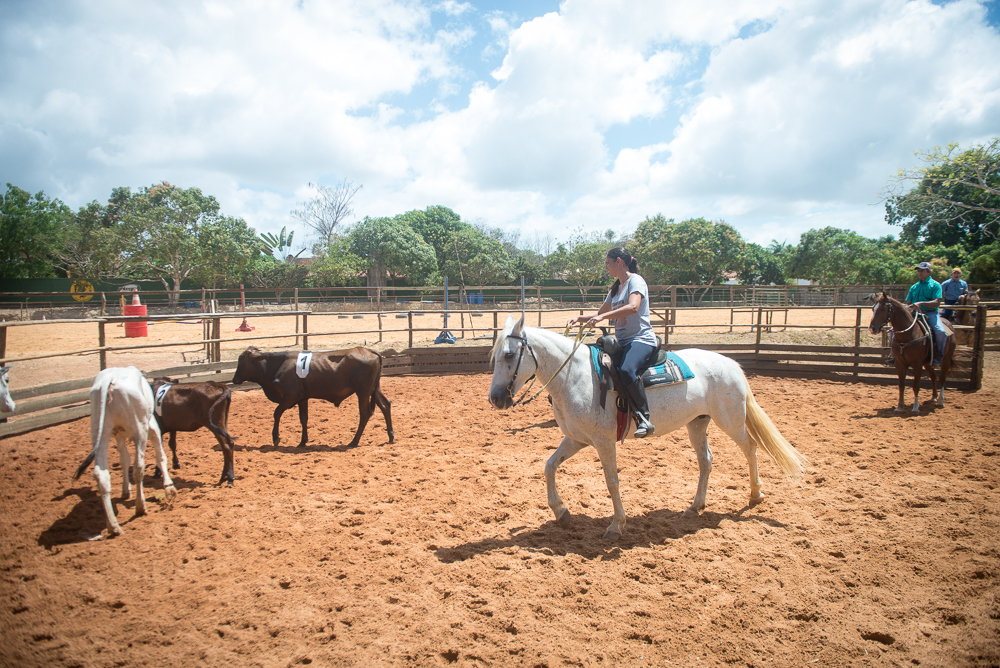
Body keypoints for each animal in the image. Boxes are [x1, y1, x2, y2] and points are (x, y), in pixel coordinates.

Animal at [74, 368, 178, 536]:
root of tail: (109, 379)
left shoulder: (119, 435)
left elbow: (124, 460)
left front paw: (125, 490)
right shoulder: (152, 424)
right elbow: (160, 456)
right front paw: (169, 488)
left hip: (100, 433)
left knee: (101, 475)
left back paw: (113, 525)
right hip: (140, 430)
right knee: (138, 467)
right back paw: (140, 507)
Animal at [232, 344, 392, 448]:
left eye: (240, 360)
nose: (234, 379)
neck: (277, 365)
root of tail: (370, 351)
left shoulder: (290, 396)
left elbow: (277, 413)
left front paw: (276, 438)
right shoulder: (302, 398)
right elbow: (303, 418)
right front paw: (303, 441)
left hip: (363, 391)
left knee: (364, 413)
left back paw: (354, 441)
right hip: (374, 389)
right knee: (385, 405)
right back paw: (390, 436)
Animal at [488, 316, 808, 540]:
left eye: (508, 355)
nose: (495, 398)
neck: (574, 375)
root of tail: (730, 363)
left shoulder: (603, 442)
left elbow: (612, 481)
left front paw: (616, 525)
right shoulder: (576, 439)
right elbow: (549, 466)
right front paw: (561, 512)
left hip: (730, 420)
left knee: (751, 448)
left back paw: (755, 495)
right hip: (697, 424)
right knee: (706, 461)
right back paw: (695, 506)